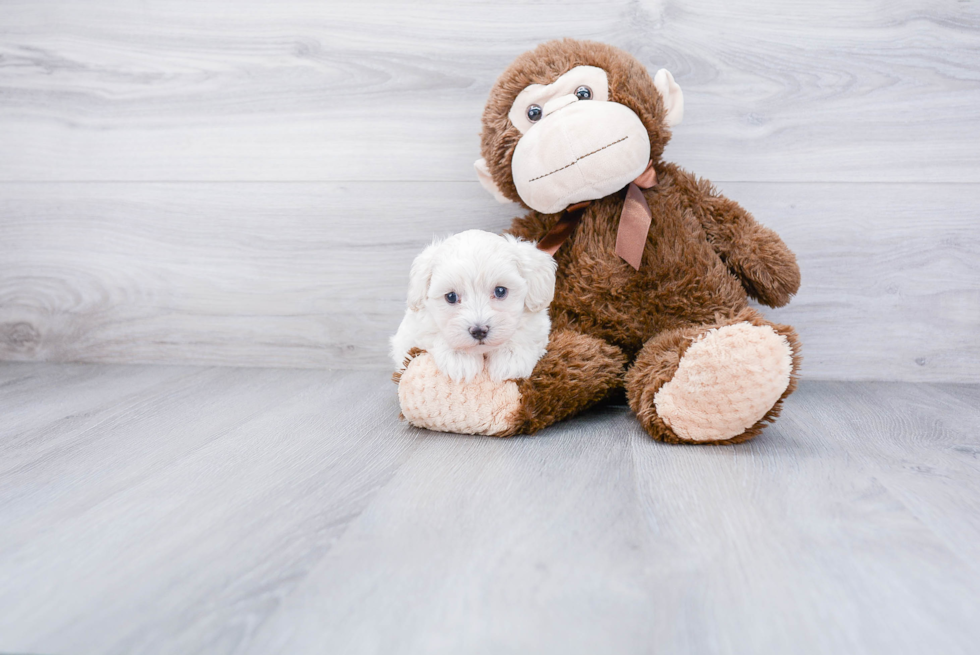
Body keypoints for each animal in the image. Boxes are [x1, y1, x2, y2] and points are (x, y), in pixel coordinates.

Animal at [390, 231, 560, 384]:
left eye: (500, 291)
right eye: (451, 296)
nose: (479, 331)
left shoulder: (537, 324)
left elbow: (525, 334)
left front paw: (510, 358)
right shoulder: (417, 328)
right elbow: (435, 334)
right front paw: (460, 357)